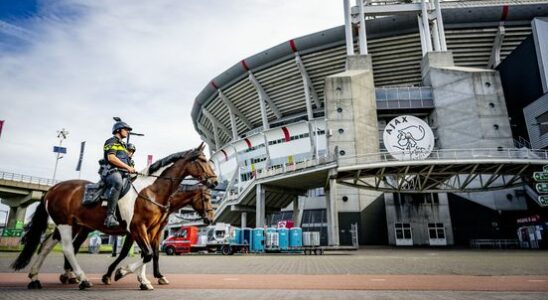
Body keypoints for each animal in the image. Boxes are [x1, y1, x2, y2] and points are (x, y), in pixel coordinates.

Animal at [58, 183, 213, 286]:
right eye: (206, 199)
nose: (210, 219)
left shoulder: (154, 231)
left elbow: (153, 253)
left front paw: (155, 276)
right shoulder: (135, 231)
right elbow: (127, 253)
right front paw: (111, 274)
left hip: (85, 228)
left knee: (74, 246)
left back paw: (71, 274)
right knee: (72, 246)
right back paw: (72, 274)